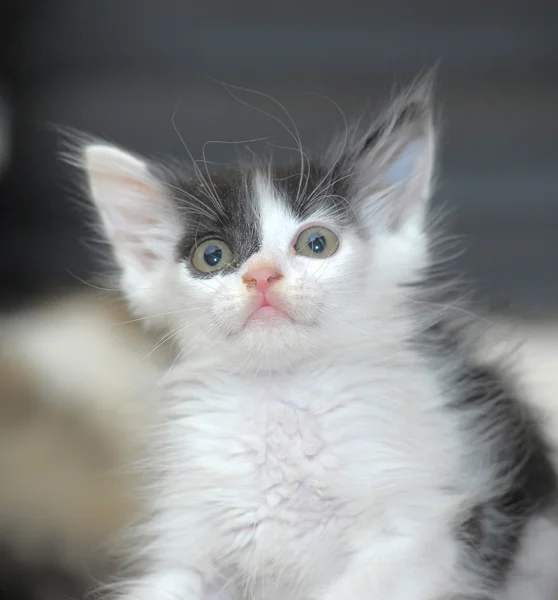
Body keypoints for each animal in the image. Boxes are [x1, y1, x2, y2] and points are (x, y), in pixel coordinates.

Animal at [77, 78, 558, 600]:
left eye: (316, 244)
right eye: (212, 255)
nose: (262, 276)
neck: (282, 394)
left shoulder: (422, 536)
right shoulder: (189, 547)